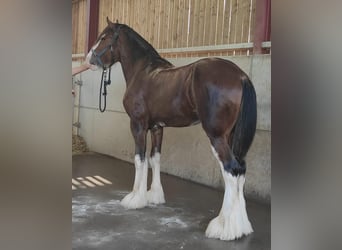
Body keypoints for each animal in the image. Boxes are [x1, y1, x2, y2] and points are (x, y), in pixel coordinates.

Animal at [85, 17, 256, 240]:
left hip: (217, 136)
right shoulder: (157, 127)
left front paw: (135, 198)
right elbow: (154, 158)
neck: (143, 72)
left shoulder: (138, 125)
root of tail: (241, 76)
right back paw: (241, 227)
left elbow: (139, 159)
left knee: (231, 170)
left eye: (103, 37)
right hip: (233, 136)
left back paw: (223, 228)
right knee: (241, 169)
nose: (88, 59)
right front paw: (153, 196)